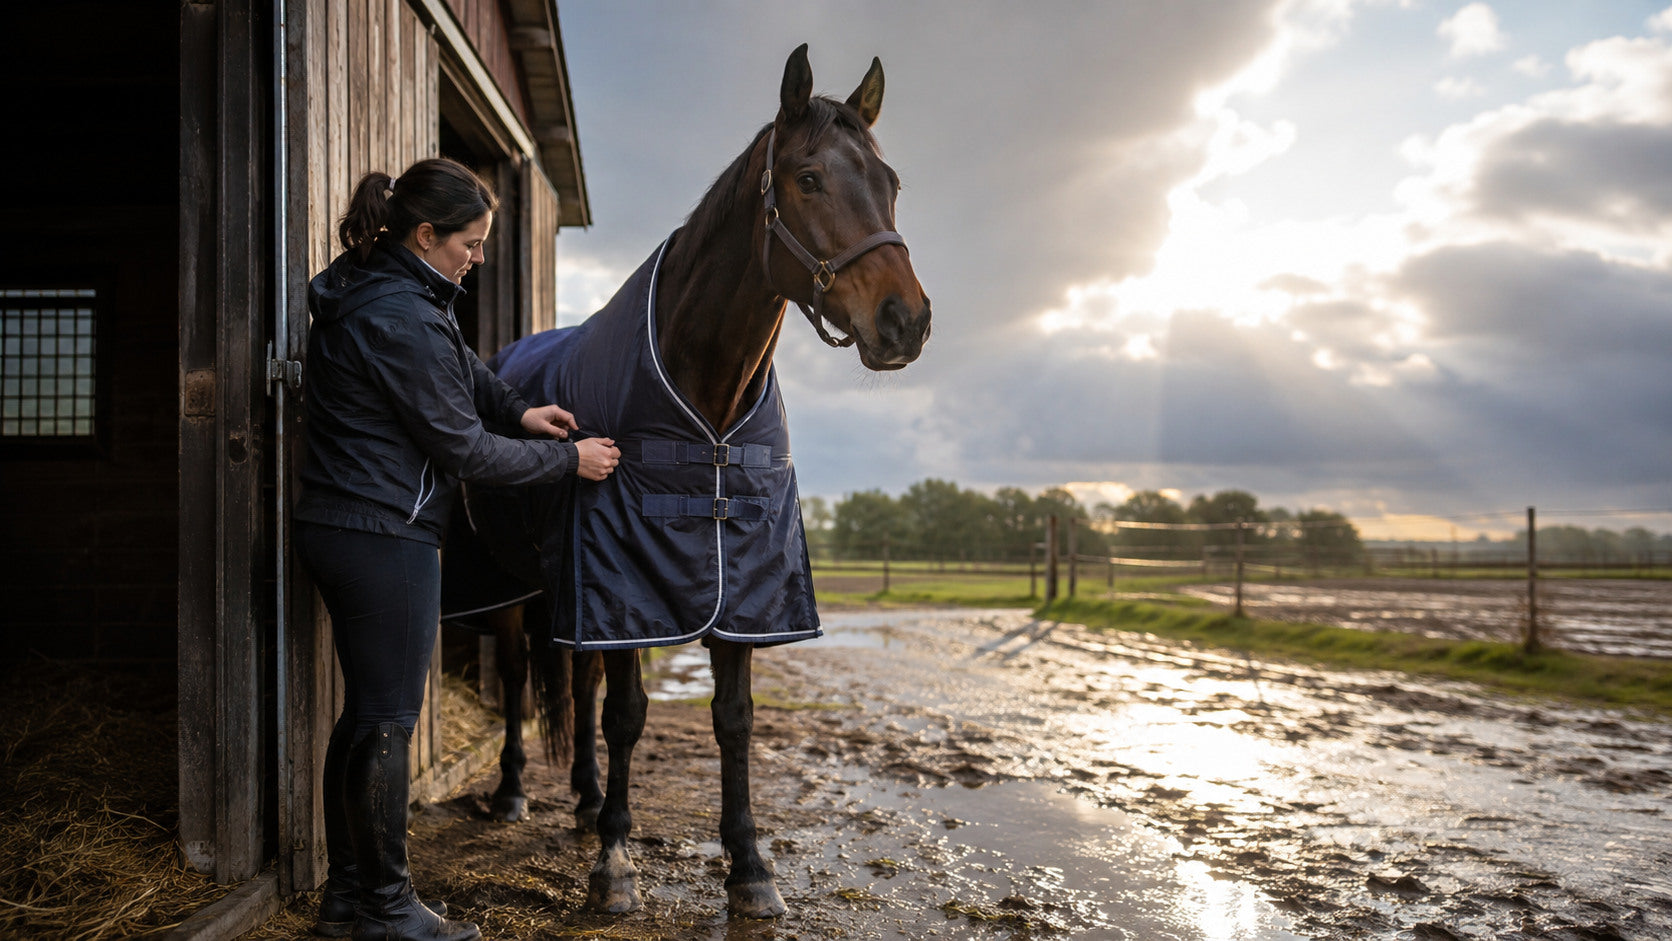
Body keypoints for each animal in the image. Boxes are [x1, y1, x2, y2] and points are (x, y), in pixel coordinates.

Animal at [441, 43, 930, 918]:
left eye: (891, 181)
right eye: (809, 178)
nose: (905, 320)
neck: (707, 401)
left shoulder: (743, 581)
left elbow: (731, 718)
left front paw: (750, 868)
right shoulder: (627, 579)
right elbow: (630, 714)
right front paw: (614, 865)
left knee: (579, 681)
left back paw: (585, 798)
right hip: (514, 587)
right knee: (526, 682)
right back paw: (515, 792)